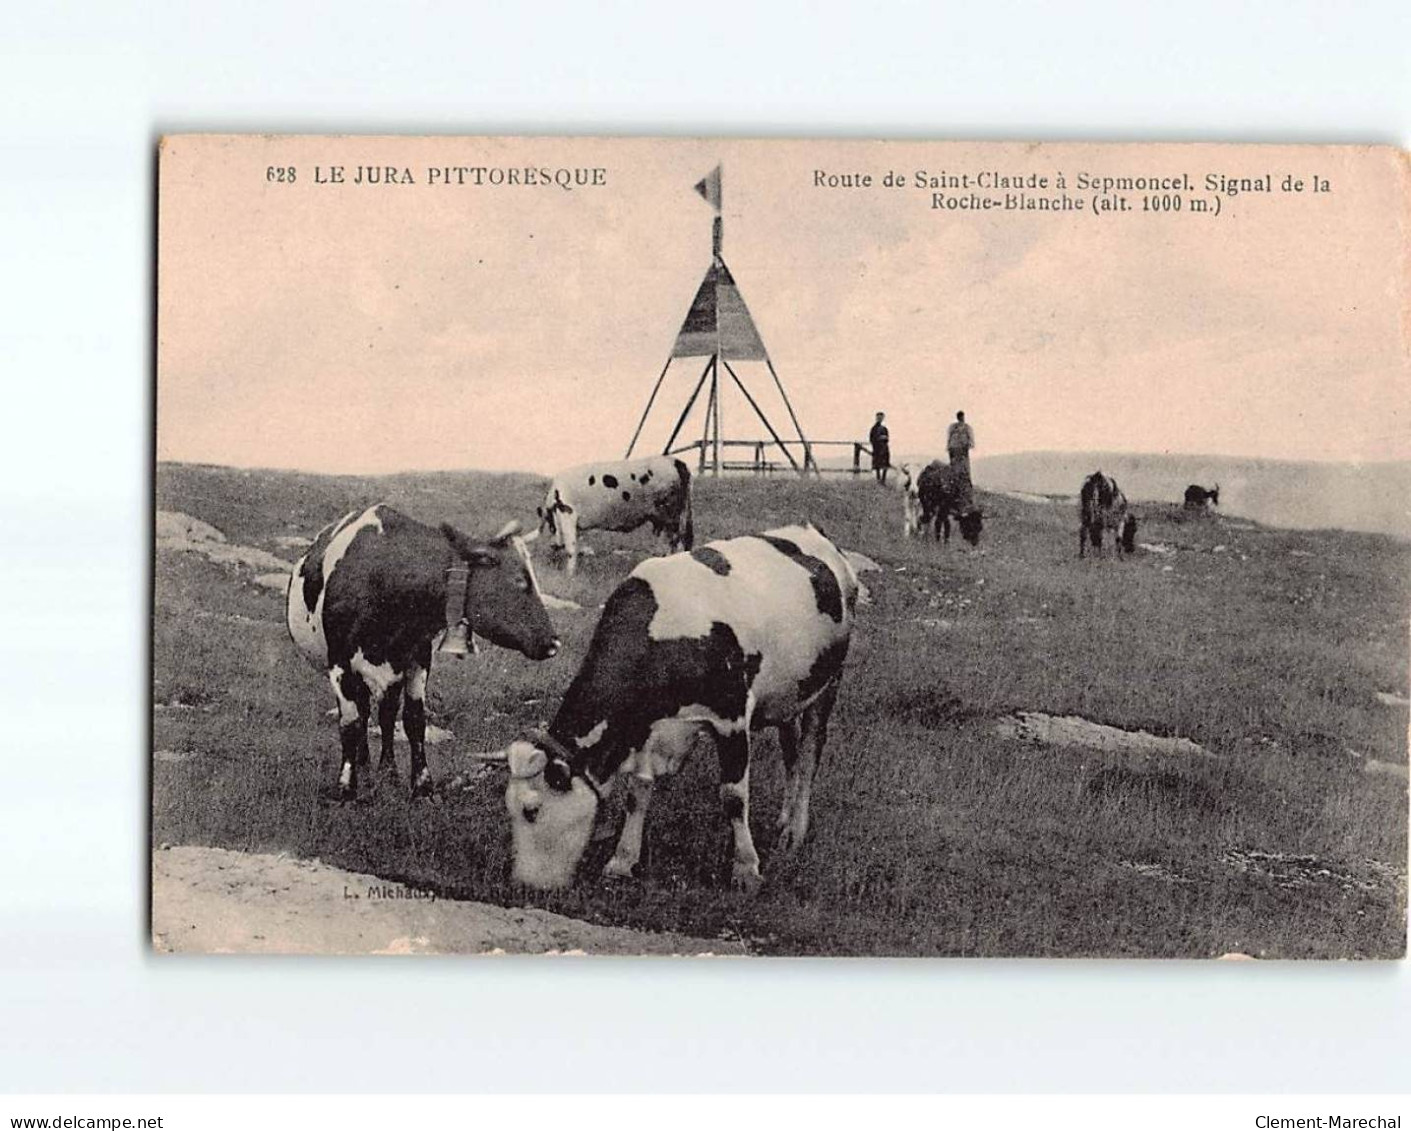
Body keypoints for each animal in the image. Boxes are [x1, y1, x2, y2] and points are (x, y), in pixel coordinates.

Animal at [287, 502, 561, 801]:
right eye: (519, 581)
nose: (553, 642)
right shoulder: (339, 663)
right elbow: (350, 724)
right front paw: (346, 788)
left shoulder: (418, 657)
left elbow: (414, 721)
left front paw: (422, 785)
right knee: (363, 714)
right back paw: (365, 768)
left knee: (384, 715)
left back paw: (386, 773)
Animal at [476, 524, 857, 896]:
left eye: (531, 810)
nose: (525, 885)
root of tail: (813, 533)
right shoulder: (645, 728)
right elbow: (638, 792)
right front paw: (622, 860)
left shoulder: (731, 717)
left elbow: (733, 797)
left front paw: (746, 869)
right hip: (789, 694)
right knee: (791, 753)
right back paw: (784, 819)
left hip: (830, 681)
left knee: (808, 755)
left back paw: (795, 831)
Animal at [536, 451, 691, 572]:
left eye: (548, 523)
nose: (550, 547)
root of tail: (674, 461)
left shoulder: (567, 511)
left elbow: (571, 547)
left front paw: (570, 574)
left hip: (671, 517)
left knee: (676, 543)